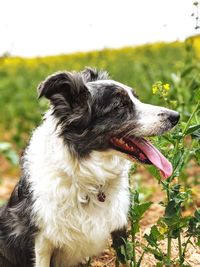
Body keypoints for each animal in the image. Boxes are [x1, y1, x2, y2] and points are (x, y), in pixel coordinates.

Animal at [0, 68, 180, 266]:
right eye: (120, 106)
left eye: (136, 98)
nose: (176, 116)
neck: (87, 177)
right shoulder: (42, 240)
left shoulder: (118, 225)